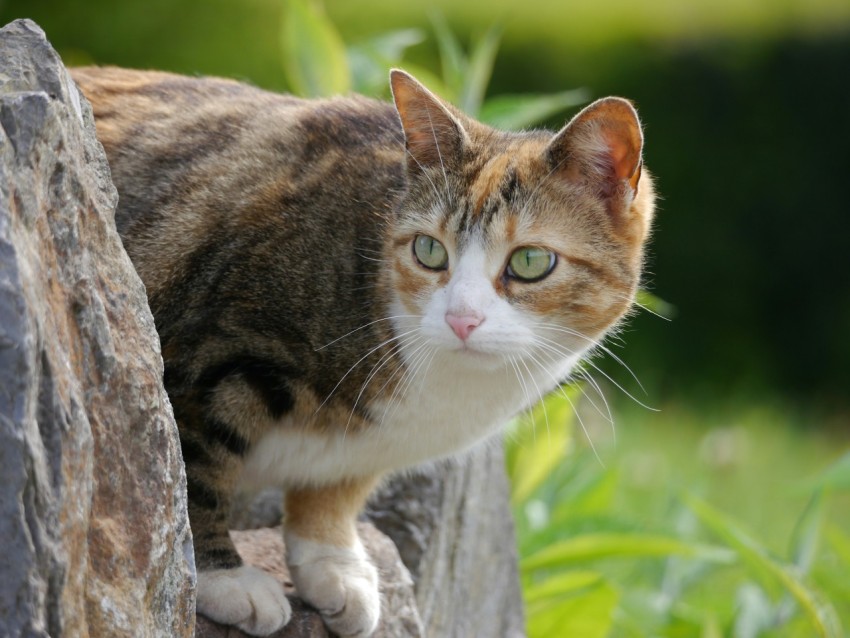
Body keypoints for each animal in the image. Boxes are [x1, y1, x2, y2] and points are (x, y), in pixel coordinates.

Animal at [73, 66, 656, 638]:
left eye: (531, 261)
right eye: (429, 250)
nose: (461, 319)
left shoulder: (364, 448)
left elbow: (336, 486)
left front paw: (333, 562)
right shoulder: (206, 348)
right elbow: (190, 469)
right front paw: (224, 578)